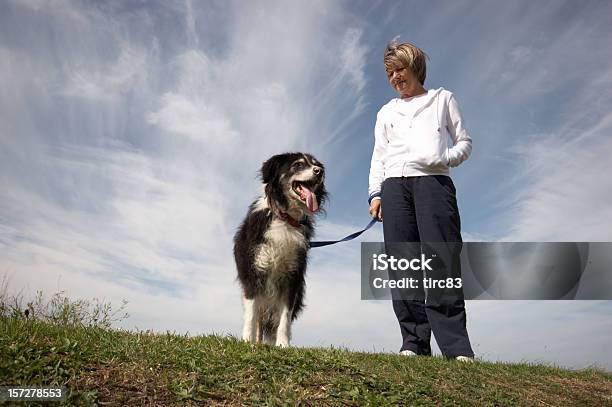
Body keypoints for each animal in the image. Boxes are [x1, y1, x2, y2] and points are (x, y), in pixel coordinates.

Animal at [233, 152, 328, 348]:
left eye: (316, 165)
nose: (320, 171)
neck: (285, 218)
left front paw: (283, 345)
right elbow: (251, 315)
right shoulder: (253, 273)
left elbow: (284, 317)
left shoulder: (292, 277)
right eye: (298, 165)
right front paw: (247, 341)